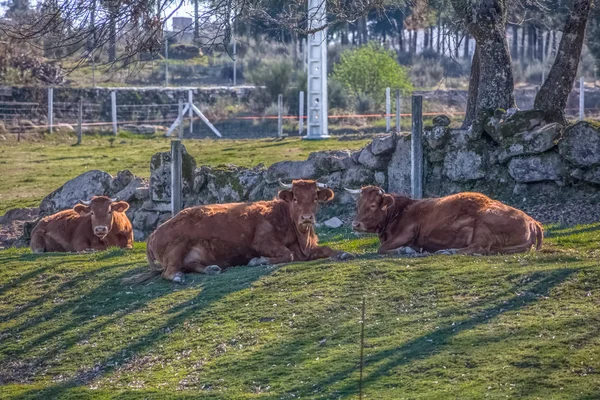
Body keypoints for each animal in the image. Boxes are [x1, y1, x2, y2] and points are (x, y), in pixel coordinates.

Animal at [132, 180, 346, 282]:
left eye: (315, 198)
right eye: (295, 198)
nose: (307, 218)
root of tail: (154, 233)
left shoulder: (309, 248)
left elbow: (327, 249)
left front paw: (344, 253)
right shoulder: (263, 242)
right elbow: (288, 254)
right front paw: (257, 261)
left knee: (191, 265)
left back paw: (211, 269)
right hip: (177, 248)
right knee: (168, 272)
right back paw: (178, 277)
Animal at [346, 186, 544, 255]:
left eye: (373, 205)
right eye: (358, 204)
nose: (355, 224)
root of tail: (532, 221)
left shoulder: (407, 232)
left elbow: (381, 249)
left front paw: (406, 250)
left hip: (484, 224)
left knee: (477, 248)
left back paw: (447, 251)